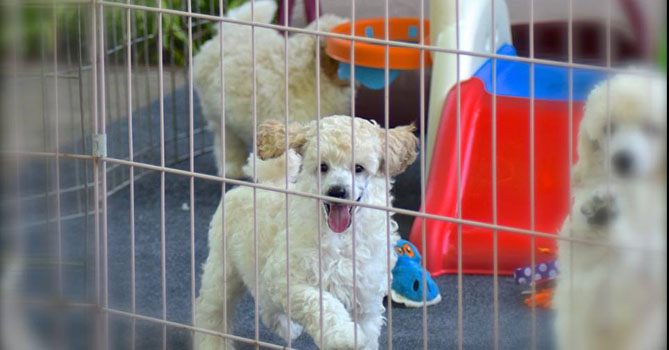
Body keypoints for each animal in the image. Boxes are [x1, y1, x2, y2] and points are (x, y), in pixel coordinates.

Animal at [192, 116, 418, 348]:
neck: (341, 238)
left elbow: (367, 330)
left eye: (358, 167)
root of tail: (268, 183)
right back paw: (212, 342)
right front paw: (344, 335)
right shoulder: (285, 279)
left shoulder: (366, 297)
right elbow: (321, 302)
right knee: (211, 310)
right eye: (323, 166)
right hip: (222, 263)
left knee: (267, 306)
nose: (337, 191)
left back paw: (286, 327)